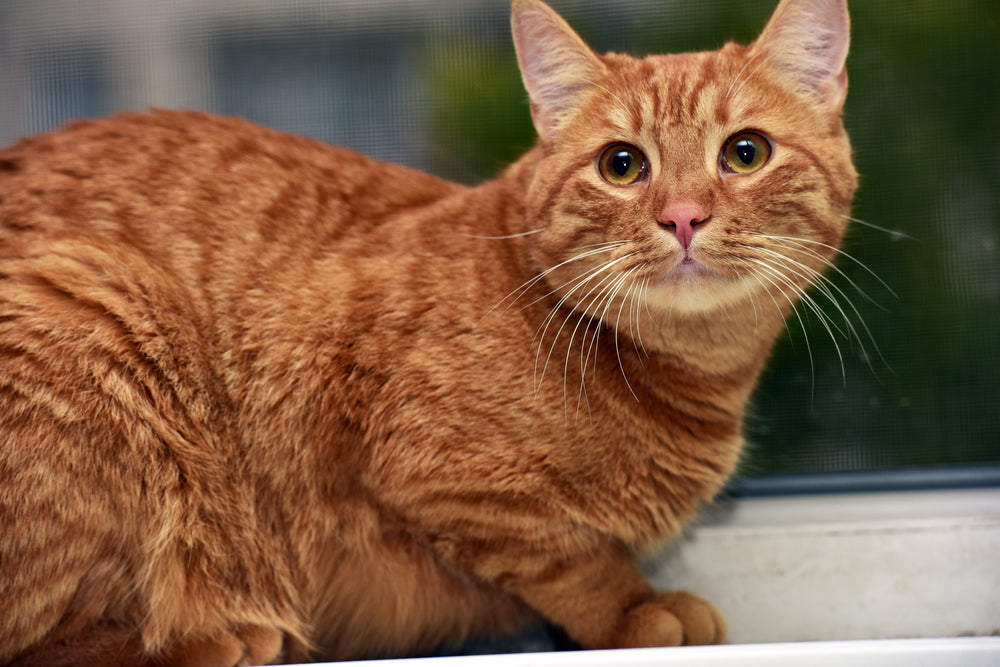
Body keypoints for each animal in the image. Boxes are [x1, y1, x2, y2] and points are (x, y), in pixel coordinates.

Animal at [0, 0, 856, 664]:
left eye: (744, 153)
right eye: (621, 165)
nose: (683, 217)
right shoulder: (437, 476)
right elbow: (571, 558)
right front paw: (637, 608)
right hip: (96, 304)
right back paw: (218, 637)